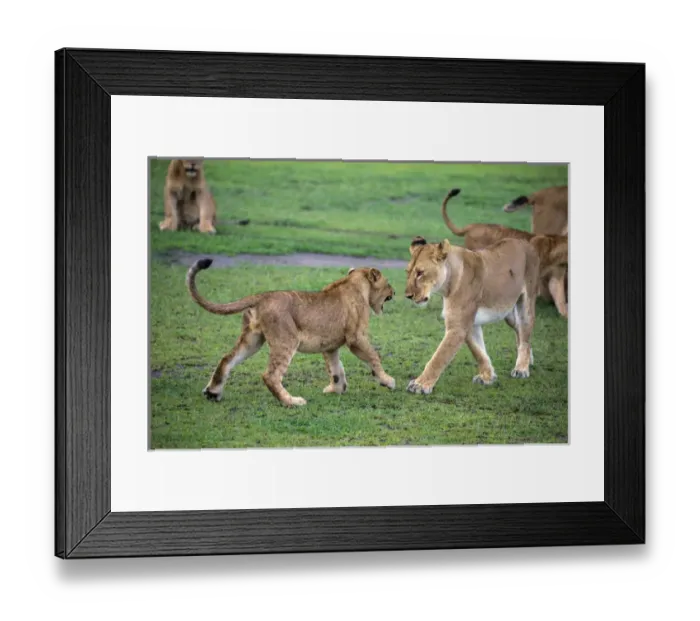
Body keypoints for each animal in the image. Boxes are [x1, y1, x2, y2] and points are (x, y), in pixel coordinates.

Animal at [186, 259, 396, 407]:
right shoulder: (356, 338)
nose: (394, 292)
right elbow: (373, 357)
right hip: (286, 341)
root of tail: (262, 296)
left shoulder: (329, 346)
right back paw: (292, 402)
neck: (355, 284)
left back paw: (212, 393)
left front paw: (336, 388)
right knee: (270, 376)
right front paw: (387, 381)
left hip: (252, 340)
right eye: (388, 283)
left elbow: (335, 368)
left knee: (227, 359)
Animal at [404, 235, 539, 394]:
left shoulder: (458, 327)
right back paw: (529, 359)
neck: (447, 286)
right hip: (508, 313)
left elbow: (438, 358)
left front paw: (419, 384)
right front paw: (487, 377)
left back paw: (521, 369)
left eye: (420, 273)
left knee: (525, 334)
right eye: (408, 272)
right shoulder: (470, 324)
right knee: (521, 332)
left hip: (526, 304)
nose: (408, 296)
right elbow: (478, 352)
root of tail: (524, 241)